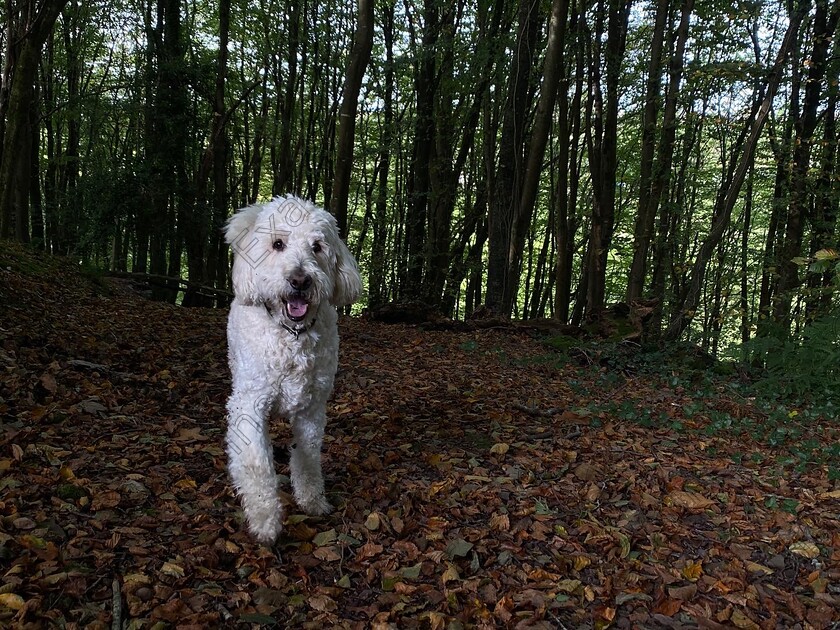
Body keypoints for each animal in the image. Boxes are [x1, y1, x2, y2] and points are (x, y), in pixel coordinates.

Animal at [221, 196, 360, 544]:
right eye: (278, 244)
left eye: (317, 247)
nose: (300, 280)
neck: (292, 334)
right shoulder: (250, 404)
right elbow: (256, 462)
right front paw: (264, 519)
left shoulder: (312, 408)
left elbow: (307, 456)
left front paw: (311, 499)